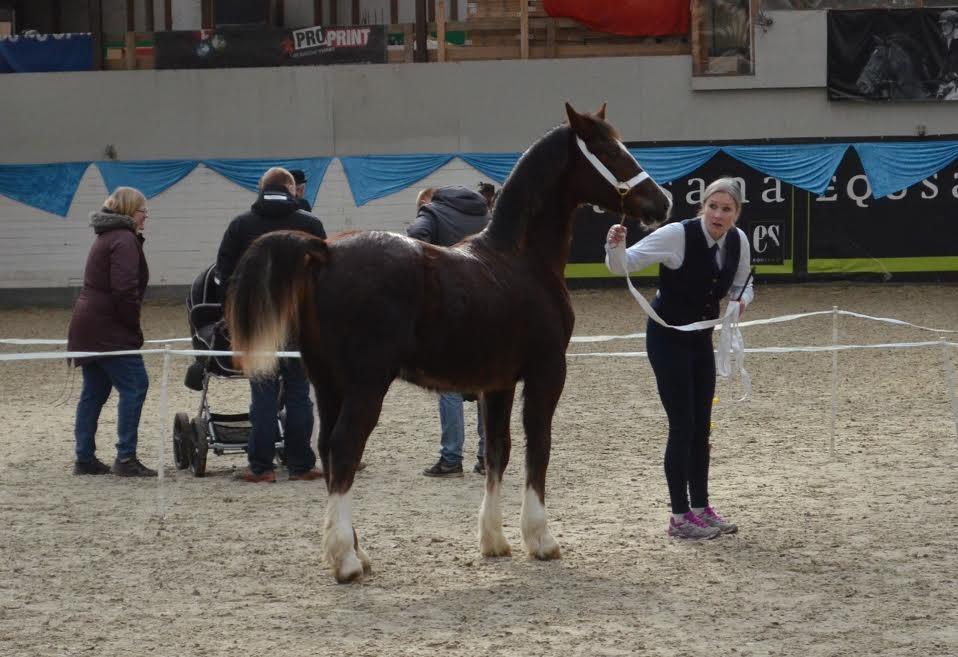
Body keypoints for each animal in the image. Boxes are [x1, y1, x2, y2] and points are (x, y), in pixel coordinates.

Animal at [228, 104, 672, 584]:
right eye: (609, 150)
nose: (662, 201)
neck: (520, 260)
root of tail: (324, 252)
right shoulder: (547, 372)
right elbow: (539, 445)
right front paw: (540, 539)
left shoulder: (497, 384)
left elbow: (498, 450)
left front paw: (494, 540)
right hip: (366, 385)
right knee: (345, 448)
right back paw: (345, 560)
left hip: (327, 384)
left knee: (328, 449)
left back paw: (355, 552)